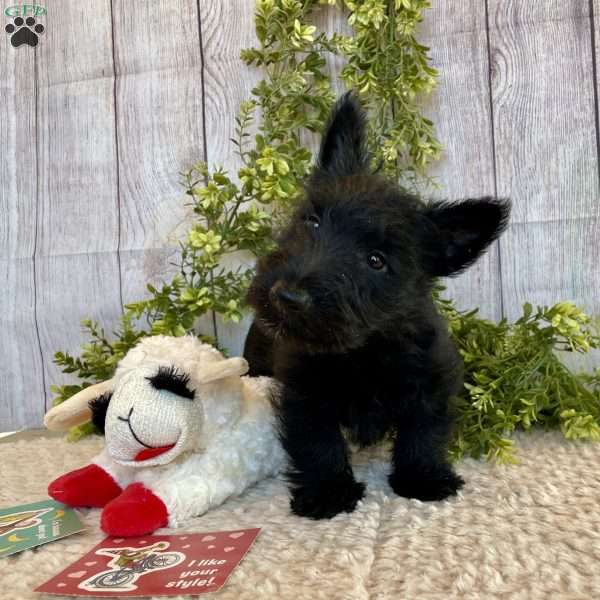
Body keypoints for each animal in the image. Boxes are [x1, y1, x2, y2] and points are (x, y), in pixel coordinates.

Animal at [244, 94, 510, 520]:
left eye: (376, 261)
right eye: (313, 221)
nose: (286, 296)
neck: (364, 348)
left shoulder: (431, 382)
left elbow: (423, 432)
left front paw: (423, 478)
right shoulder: (304, 391)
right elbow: (318, 442)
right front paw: (327, 492)